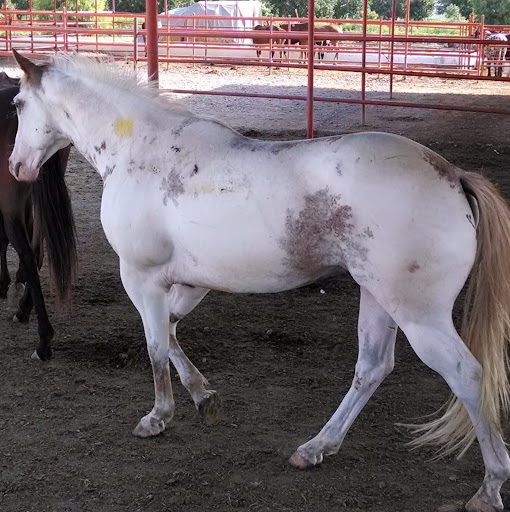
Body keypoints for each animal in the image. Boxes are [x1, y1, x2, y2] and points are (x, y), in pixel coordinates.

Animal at [8, 49, 510, 512]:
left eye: (16, 103)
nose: (16, 167)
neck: (141, 151)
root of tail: (454, 176)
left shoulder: (141, 278)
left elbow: (154, 348)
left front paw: (158, 416)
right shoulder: (191, 283)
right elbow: (170, 333)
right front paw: (202, 395)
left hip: (419, 315)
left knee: (466, 374)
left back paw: (489, 488)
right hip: (378, 299)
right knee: (371, 368)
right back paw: (317, 447)